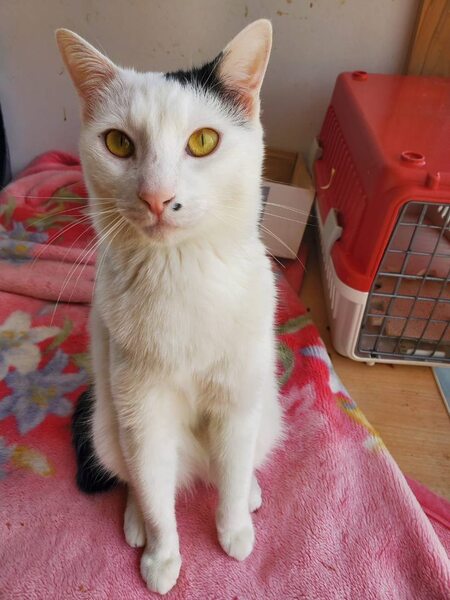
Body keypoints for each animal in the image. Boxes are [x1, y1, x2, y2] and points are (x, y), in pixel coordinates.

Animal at [56, 19, 282, 595]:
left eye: (203, 141)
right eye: (118, 143)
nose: (157, 196)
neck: (181, 272)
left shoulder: (237, 400)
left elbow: (231, 473)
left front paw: (234, 531)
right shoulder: (143, 412)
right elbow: (156, 492)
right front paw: (162, 557)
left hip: (267, 405)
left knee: (241, 460)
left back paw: (250, 492)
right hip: (106, 421)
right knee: (138, 477)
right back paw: (136, 518)